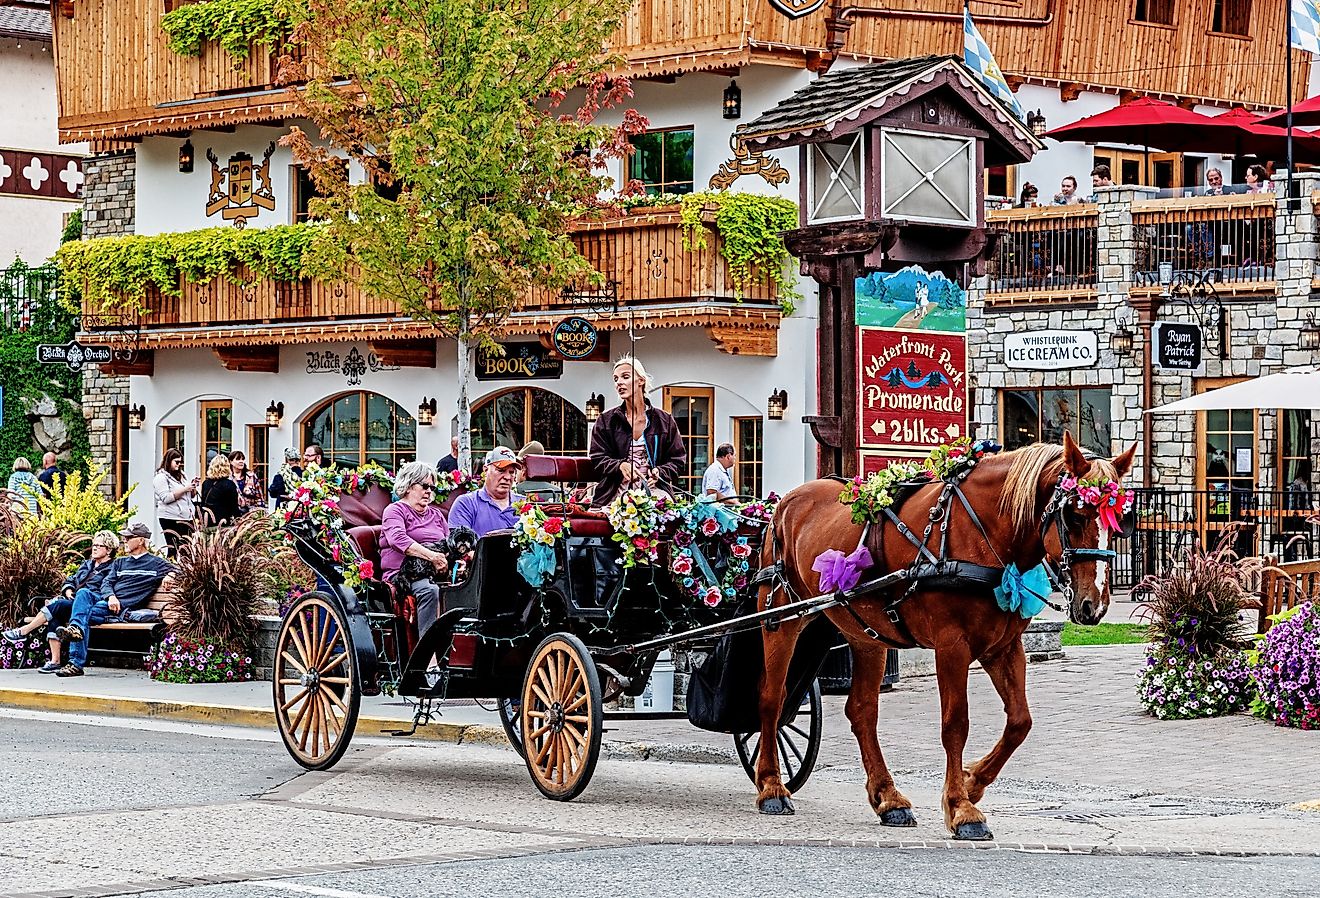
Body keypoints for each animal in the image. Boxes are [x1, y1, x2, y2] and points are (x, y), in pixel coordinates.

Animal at [755, 435, 1135, 839]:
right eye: (1075, 514)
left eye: (1120, 522)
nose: (1094, 604)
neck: (983, 532)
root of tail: (784, 503)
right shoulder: (951, 646)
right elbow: (955, 724)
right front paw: (961, 809)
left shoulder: (1003, 647)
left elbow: (1020, 721)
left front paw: (972, 782)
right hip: (779, 619)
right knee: (772, 699)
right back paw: (772, 787)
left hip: (866, 636)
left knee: (861, 711)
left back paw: (888, 798)